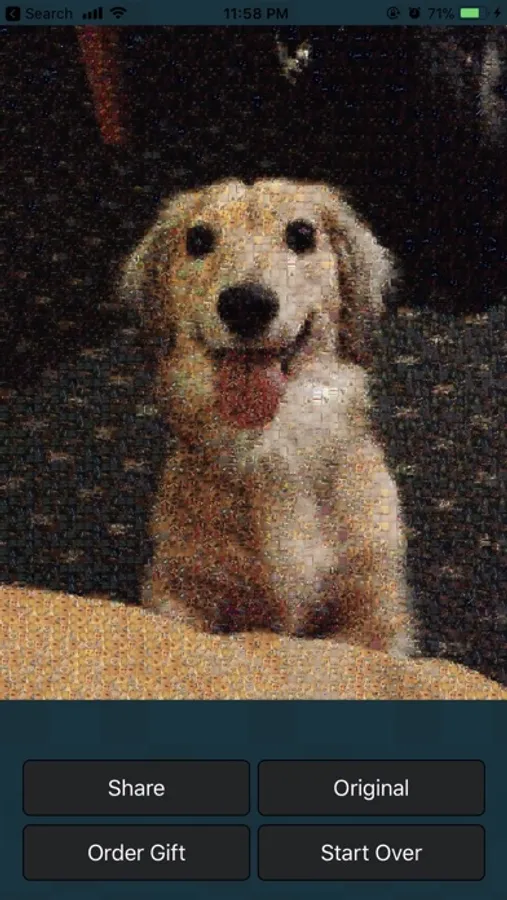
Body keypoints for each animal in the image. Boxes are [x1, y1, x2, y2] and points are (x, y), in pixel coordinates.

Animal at [120, 179, 415, 657]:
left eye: (302, 234)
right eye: (198, 239)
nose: (245, 305)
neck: (272, 441)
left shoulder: (373, 609)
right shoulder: (179, 589)